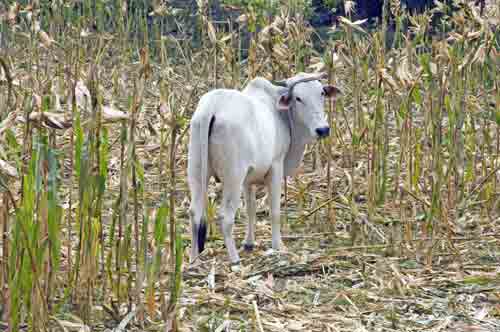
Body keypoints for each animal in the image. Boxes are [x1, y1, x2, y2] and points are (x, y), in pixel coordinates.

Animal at [188, 72, 340, 264]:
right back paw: (235, 259)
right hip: (233, 178)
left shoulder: (248, 180)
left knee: (195, 213)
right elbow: (274, 211)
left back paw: (193, 259)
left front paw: (249, 243)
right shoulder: (276, 167)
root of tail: (211, 108)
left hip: (197, 173)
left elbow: (251, 210)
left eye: (321, 93)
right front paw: (277, 246)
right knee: (226, 216)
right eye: (298, 98)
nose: (323, 129)